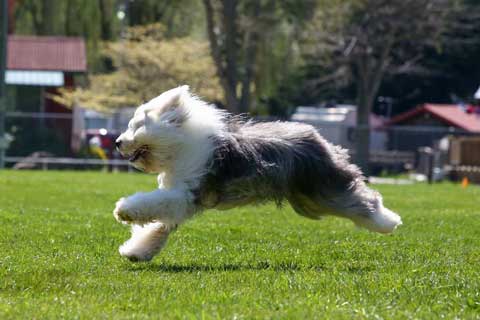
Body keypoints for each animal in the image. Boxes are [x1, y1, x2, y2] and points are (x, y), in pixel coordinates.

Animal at [113, 86, 402, 262]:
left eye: (136, 126)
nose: (116, 142)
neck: (179, 145)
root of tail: (320, 139)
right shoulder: (180, 200)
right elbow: (159, 226)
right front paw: (136, 251)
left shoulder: (186, 192)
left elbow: (154, 203)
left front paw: (124, 210)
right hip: (309, 199)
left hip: (325, 189)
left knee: (363, 200)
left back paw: (388, 222)